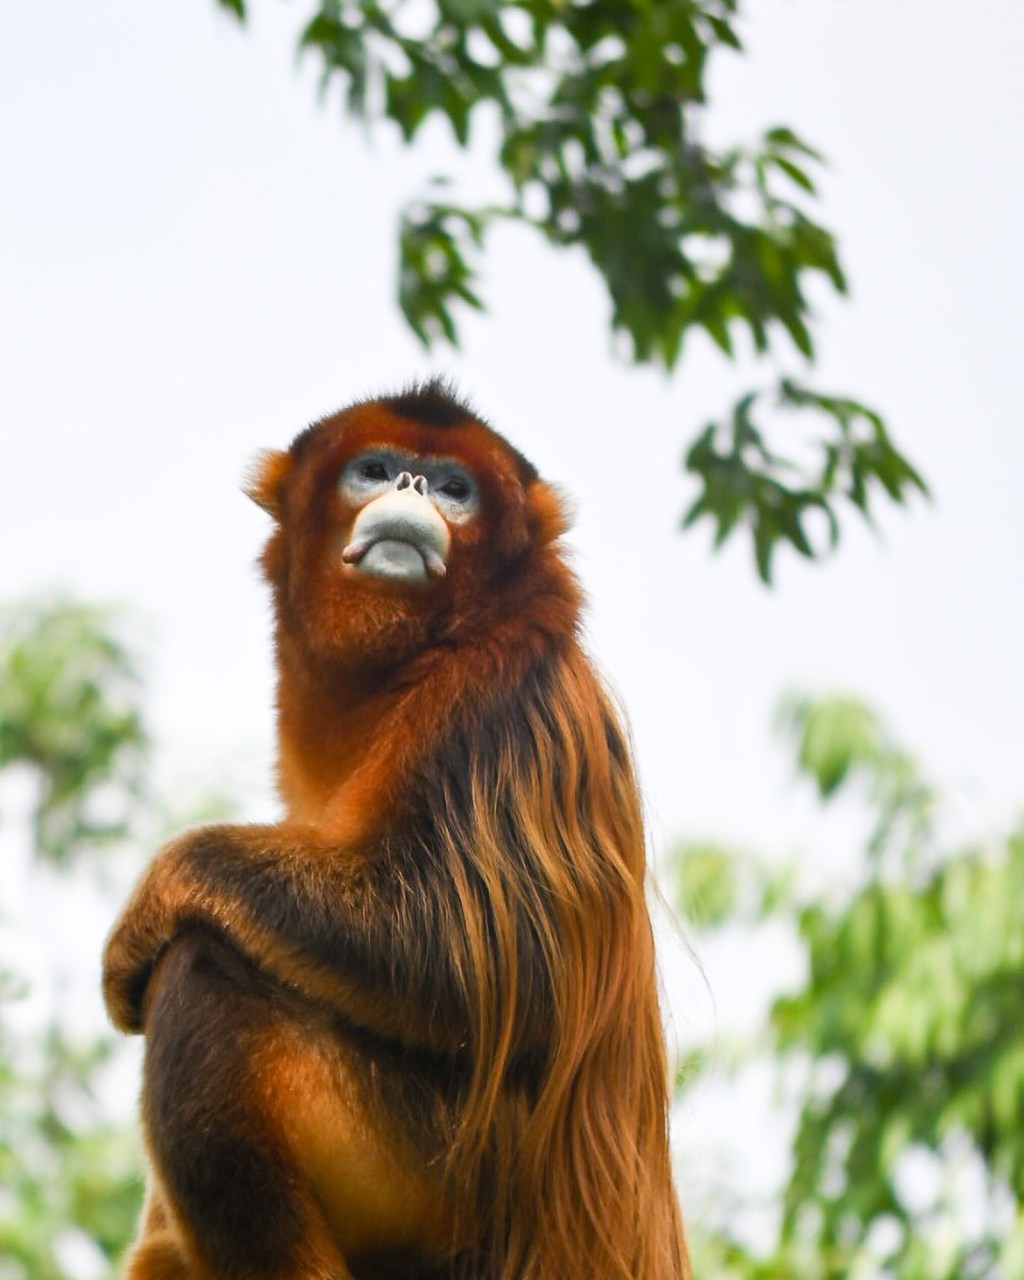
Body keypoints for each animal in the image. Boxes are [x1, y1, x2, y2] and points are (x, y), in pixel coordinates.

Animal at [103, 381, 690, 1280]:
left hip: (452, 1179)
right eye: (376, 470)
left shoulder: (492, 702)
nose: (413, 490)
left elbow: (462, 956)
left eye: (454, 487)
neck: (435, 651)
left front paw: (157, 893)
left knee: (204, 978)